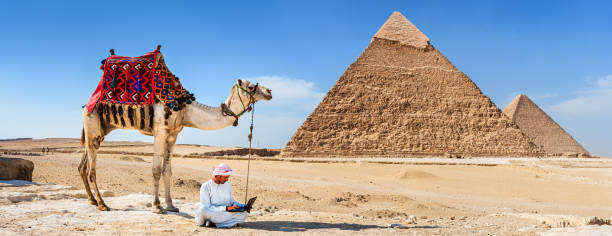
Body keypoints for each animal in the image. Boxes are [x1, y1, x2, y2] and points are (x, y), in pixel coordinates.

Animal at [80, 78, 272, 213]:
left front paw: (171, 206)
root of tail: (87, 104)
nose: (269, 91)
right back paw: (102, 204)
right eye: (251, 87)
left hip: (99, 131)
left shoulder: (173, 135)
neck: (186, 110)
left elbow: (168, 171)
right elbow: (156, 170)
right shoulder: (160, 132)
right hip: (92, 125)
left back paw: (92, 200)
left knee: (82, 165)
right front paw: (157, 207)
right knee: (91, 170)